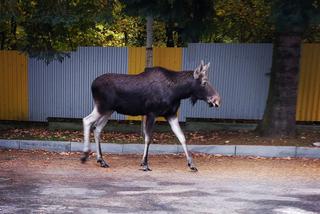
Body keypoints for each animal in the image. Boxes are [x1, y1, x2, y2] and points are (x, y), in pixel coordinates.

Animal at [80, 59, 220, 171]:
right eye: (204, 82)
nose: (217, 100)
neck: (178, 92)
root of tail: (92, 84)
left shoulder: (171, 114)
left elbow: (182, 137)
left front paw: (191, 164)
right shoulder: (152, 113)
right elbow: (148, 138)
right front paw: (145, 163)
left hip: (108, 111)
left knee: (97, 128)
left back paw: (101, 160)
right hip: (102, 107)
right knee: (87, 120)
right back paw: (85, 155)